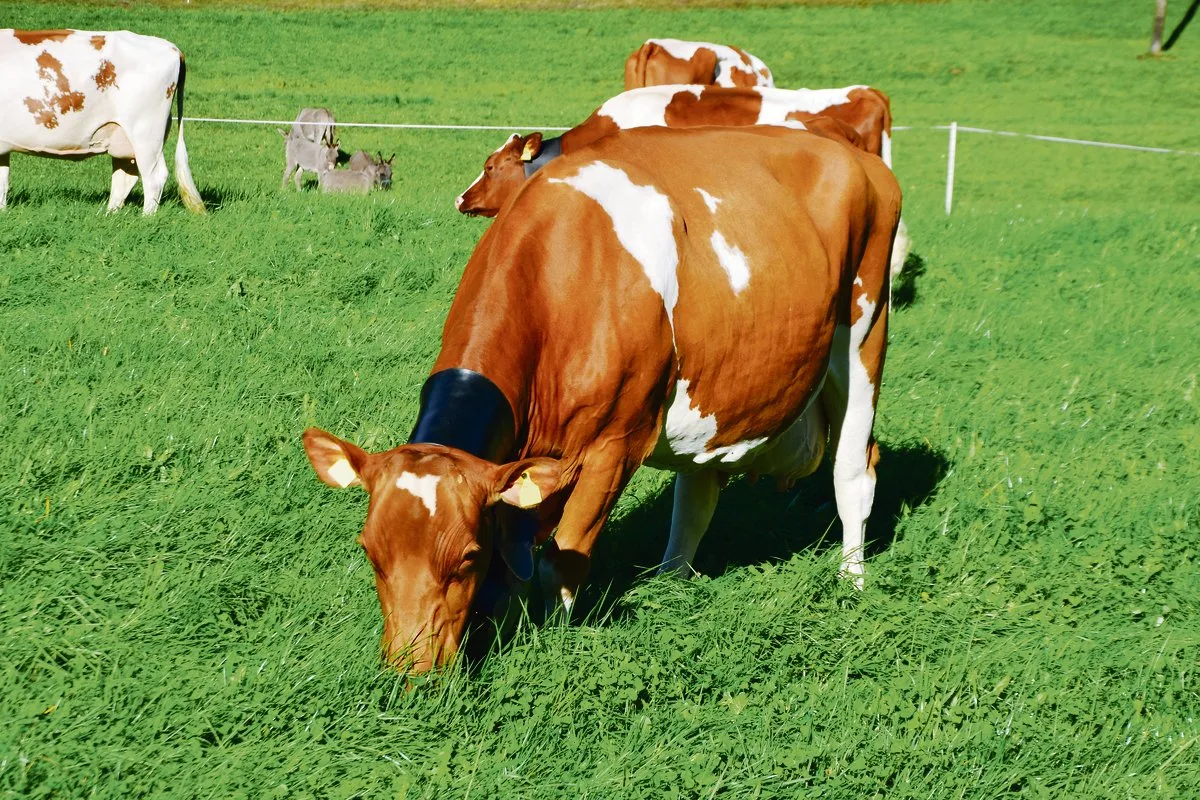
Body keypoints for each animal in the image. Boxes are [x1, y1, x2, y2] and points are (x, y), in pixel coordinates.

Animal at [0, 29, 203, 214]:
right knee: (126, 177)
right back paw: (109, 215)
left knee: (154, 176)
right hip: (124, 136)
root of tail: (171, 47)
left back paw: (146, 218)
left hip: (145, 131)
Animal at [304, 124, 901, 672]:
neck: (559, 275)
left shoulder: (615, 444)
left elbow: (562, 558)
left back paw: (851, 581)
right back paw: (670, 579)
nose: (411, 672)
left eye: (466, 557)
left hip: (864, 335)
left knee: (854, 471)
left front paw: (550, 644)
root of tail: (852, 152)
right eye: (370, 552)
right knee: (699, 489)